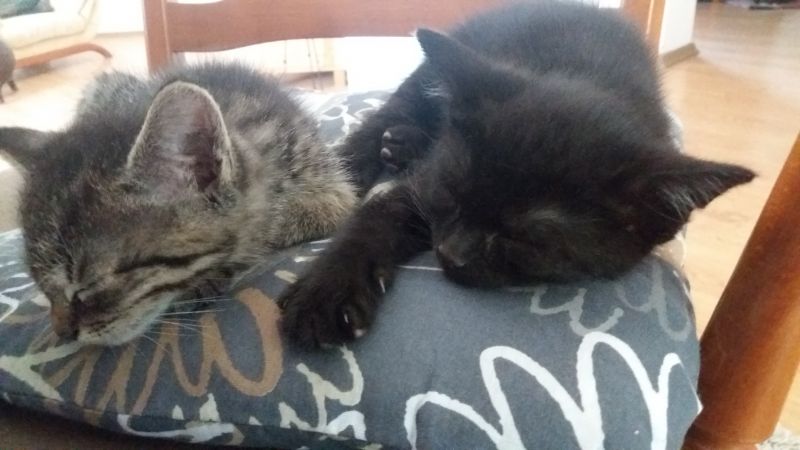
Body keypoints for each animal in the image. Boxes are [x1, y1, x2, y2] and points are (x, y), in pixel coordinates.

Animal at [278, 1, 755, 348]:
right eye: (449, 194)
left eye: (528, 238)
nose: (449, 253)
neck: (592, 80)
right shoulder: (426, 183)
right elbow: (378, 216)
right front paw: (329, 290)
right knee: (384, 117)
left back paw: (403, 143)